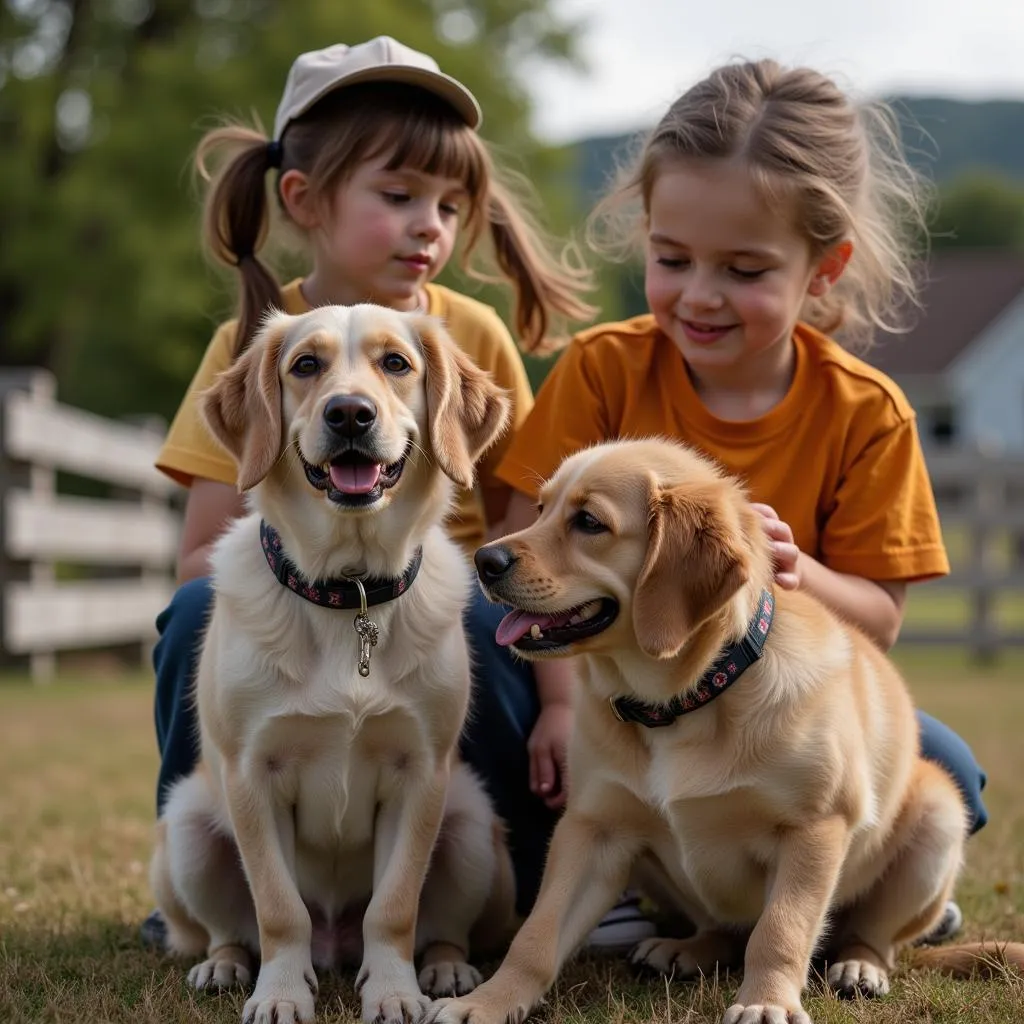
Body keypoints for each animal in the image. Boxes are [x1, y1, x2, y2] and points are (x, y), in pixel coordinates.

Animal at [148, 303, 516, 1024]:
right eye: (305, 365)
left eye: (396, 363)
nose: (350, 413)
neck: (352, 591)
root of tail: (334, 945)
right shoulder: (251, 775)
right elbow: (278, 909)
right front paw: (281, 995)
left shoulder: (419, 774)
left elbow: (394, 908)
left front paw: (395, 992)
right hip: (188, 829)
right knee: (232, 929)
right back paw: (225, 966)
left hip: (470, 824)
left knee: (439, 929)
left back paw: (446, 969)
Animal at [425, 438, 1024, 1024]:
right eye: (541, 509)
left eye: (589, 522)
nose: (484, 559)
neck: (683, 702)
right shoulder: (593, 828)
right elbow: (537, 934)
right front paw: (487, 1002)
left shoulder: (814, 827)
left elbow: (780, 930)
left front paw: (766, 1002)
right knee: (724, 931)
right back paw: (685, 948)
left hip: (939, 814)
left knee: (872, 937)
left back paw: (860, 966)